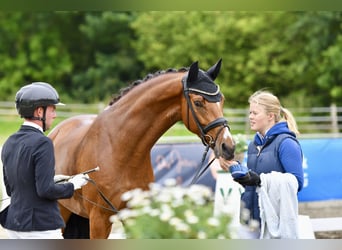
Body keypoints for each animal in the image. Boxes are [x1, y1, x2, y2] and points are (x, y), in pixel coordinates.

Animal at [48, 59, 235, 238]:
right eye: (198, 102)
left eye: (222, 100)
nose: (228, 146)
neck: (120, 148)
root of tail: (57, 130)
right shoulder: (99, 219)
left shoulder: (134, 216)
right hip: (63, 211)